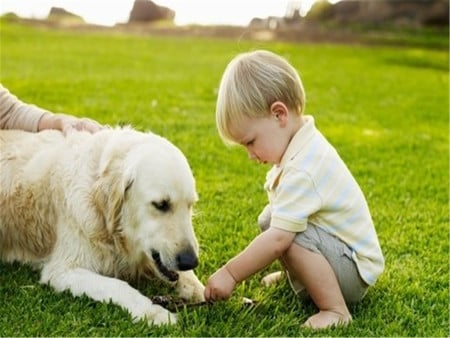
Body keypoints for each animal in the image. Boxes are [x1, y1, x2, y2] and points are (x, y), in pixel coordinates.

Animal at [0, 127, 204, 324]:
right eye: (161, 205)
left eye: (190, 205)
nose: (190, 261)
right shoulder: (62, 270)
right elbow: (117, 284)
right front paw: (152, 311)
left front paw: (199, 289)